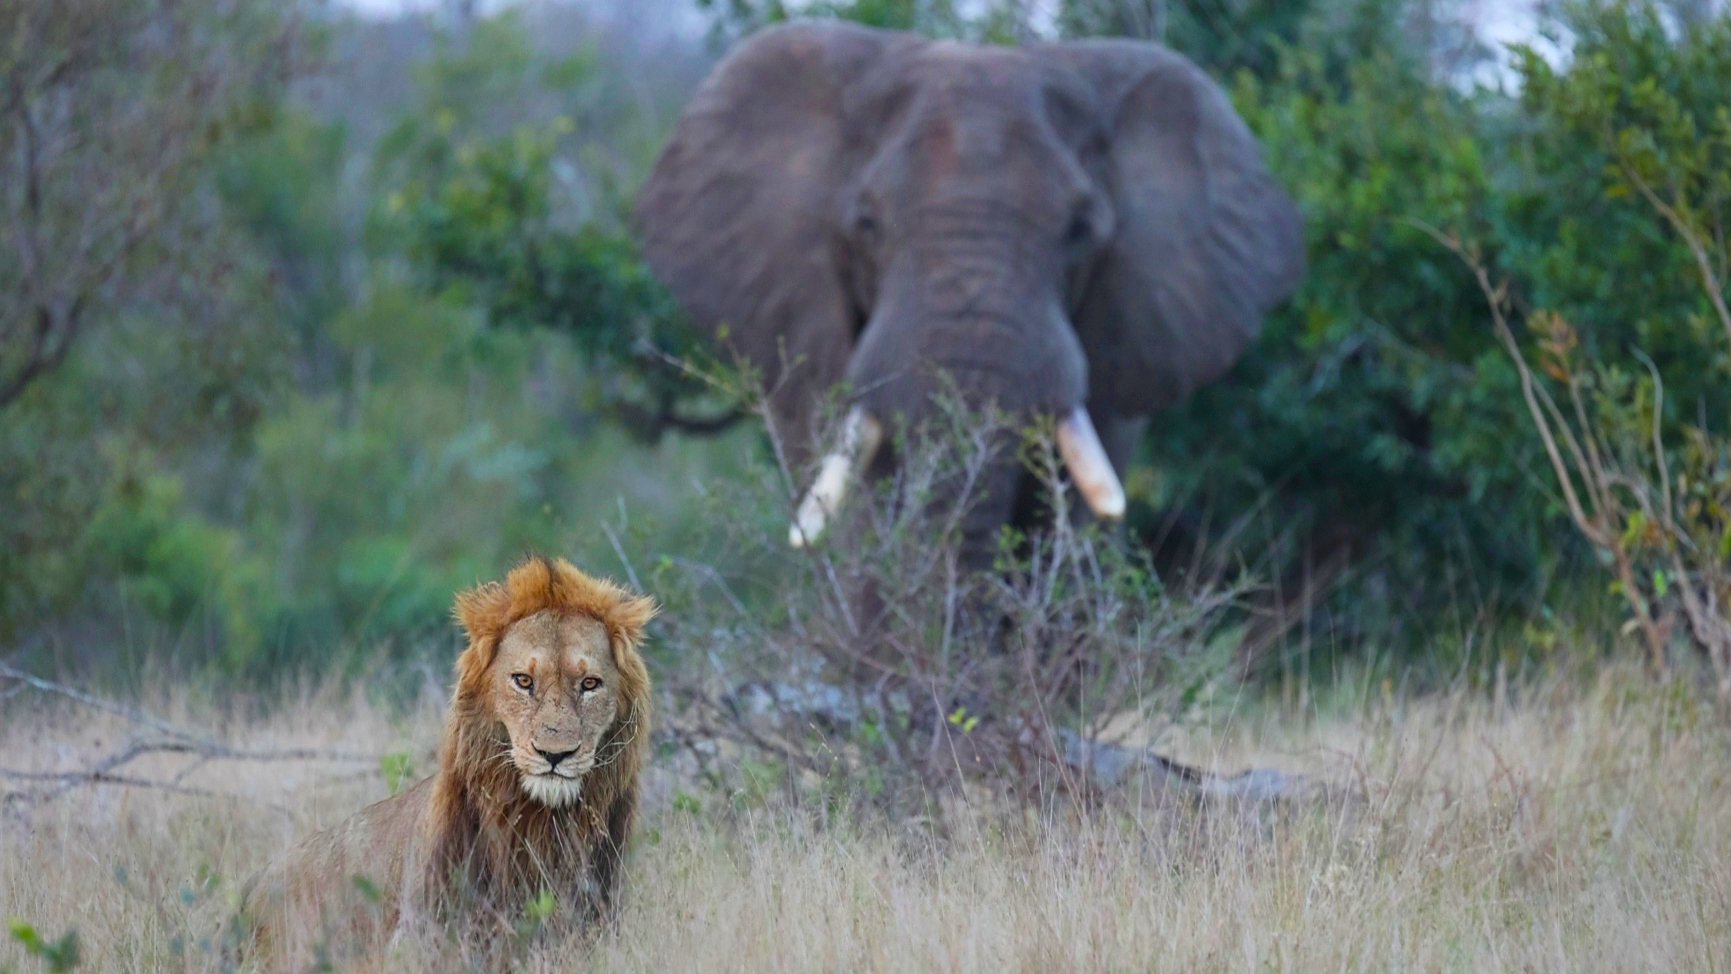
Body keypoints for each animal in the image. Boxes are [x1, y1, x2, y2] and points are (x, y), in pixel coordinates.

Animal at [236, 555, 657, 965]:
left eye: (590, 684)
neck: (538, 823)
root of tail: (251, 887)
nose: (555, 754)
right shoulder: (421, 937)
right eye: (523, 680)